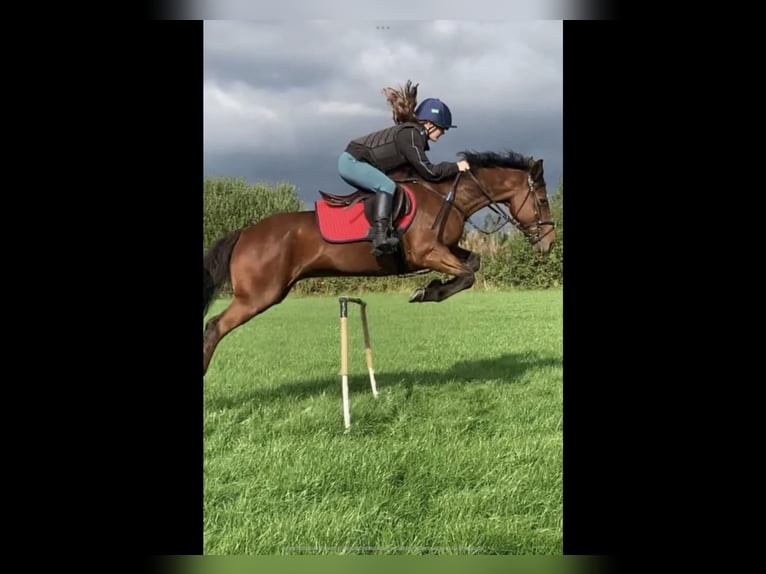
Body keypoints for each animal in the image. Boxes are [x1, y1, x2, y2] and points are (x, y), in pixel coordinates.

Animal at [203, 149, 556, 375]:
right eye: (541, 200)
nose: (549, 243)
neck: (447, 198)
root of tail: (245, 233)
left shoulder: (446, 249)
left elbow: (474, 262)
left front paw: (430, 289)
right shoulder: (427, 252)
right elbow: (468, 274)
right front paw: (427, 292)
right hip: (259, 295)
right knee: (214, 326)